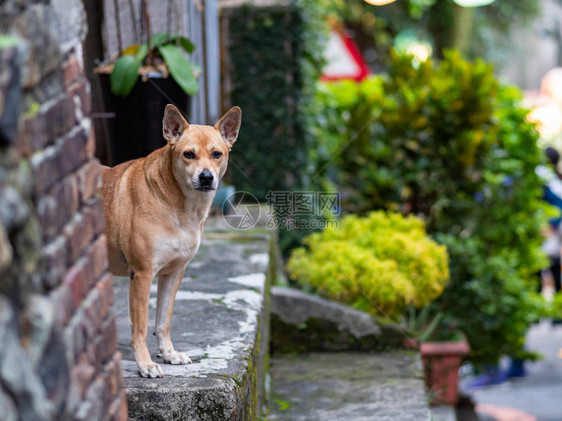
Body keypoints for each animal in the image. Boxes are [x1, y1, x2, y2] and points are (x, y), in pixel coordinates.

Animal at [100, 103, 241, 376]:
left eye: (216, 154)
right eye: (188, 154)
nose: (206, 177)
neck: (180, 206)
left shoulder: (174, 273)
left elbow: (163, 321)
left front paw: (168, 354)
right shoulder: (142, 274)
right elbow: (141, 327)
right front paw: (145, 364)